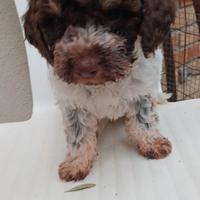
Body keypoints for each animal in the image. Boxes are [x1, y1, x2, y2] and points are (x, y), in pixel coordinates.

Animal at [24, 0, 176, 181]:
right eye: (55, 21)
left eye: (115, 14)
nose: (85, 68)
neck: (103, 84)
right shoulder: (72, 102)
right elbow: (77, 131)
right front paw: (77, 162)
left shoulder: (141, 90)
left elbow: (143, 118)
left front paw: (151, 142)